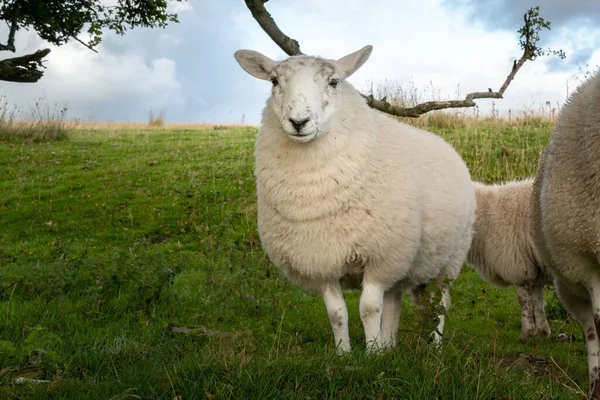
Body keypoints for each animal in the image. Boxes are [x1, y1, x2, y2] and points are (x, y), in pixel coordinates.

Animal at [232, 45, 476, 354]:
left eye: (334, 82)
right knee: (394, 301)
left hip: (449, 257)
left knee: (441, 303)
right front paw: (345, 354)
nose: (298, 122)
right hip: (403, 262)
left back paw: (433, 346)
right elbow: (337, 314)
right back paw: (389, 346)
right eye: (274, 81)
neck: (310, 190)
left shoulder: (380, 256)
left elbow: (369, 309)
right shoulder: (322, 262)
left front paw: (371, 354)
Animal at [466, 179, 552, 340]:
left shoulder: (520, 266)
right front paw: (542, 331)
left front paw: (526, 333)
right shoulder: (536, 269)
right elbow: (538, 300)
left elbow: (523, 300)